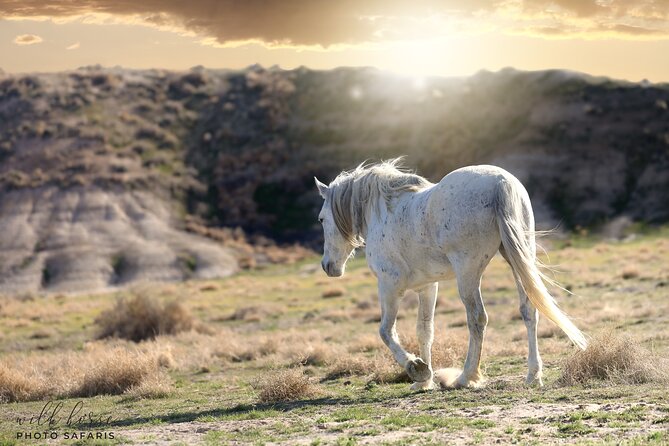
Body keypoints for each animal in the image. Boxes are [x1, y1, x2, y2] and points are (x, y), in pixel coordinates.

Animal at [315, 159, 586, 391]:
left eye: (321, 219)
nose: (328, 266)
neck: (383, 212)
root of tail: (500, 183)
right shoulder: (426, 287)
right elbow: (424, 330)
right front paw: (424, 381)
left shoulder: (389, 286)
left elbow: (386, 331)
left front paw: (416, 369)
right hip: (517, 258)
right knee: (529, 311)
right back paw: (532, 376)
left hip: (468, 273)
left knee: (477, 318)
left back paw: (466, 377)